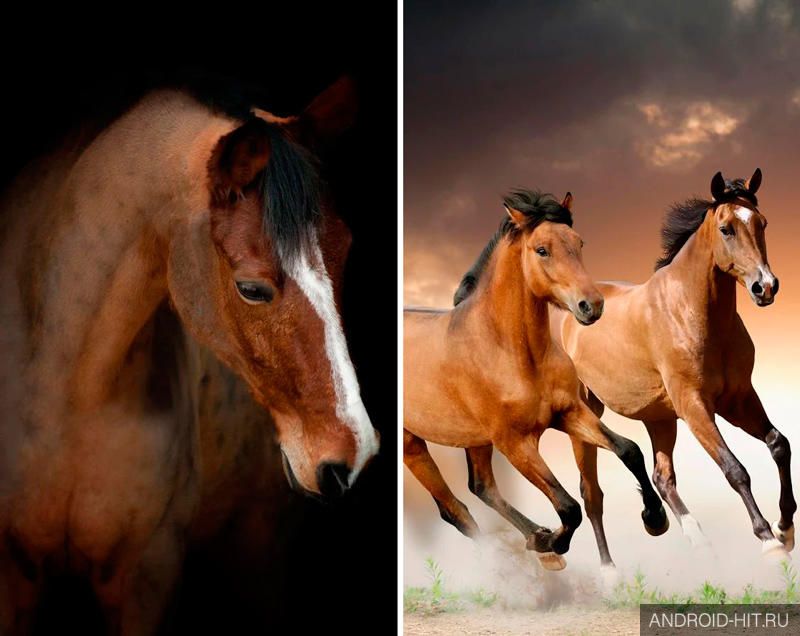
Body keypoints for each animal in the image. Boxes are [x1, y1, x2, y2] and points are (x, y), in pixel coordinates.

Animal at [0, 77, 380, 634]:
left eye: (345, 252)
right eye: (251, 289)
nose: (352, 455)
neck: (70, 393)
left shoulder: (147, 577)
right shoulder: (15, 573)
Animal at [404, 190, 668, 572]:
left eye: (579, 242)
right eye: (542, 250)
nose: (592, 305)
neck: (512, 352)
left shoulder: (569, 413)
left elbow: (628, 450)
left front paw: (655, 518)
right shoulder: (516, 443)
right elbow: (569, 507)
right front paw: (551, 542)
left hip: (475, 439)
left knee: (481, 487)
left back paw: (534, 540)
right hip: (413, 445)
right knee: (454, 510)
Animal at [559, 169, 795, 564]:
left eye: (761, 223)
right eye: (727, 228)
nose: (765, 287)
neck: (691, 312)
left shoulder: (738, 399)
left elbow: (779, 444)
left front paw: (786, 528)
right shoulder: (695, 406)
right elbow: (735, 469)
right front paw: (769, 541)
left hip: (659, 418)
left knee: (661, 477)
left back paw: (692, 537)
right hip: (585, 416)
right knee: (592, 495)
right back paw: (611, 570)